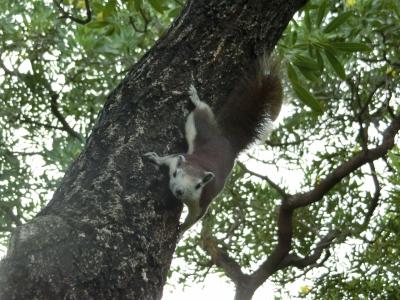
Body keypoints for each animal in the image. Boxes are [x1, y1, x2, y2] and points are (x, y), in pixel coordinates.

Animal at [142, 57, 282, 238]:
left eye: (198, 186)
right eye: (176, 173)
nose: (179, 191)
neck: (198, 166)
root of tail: (227, 142)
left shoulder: (202, 200)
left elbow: (195, 217)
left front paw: (181, 231)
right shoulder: (178, 160)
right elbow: (168, 158)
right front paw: (156, 158)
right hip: (203, 125)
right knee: (202, 109)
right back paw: (195, 97)